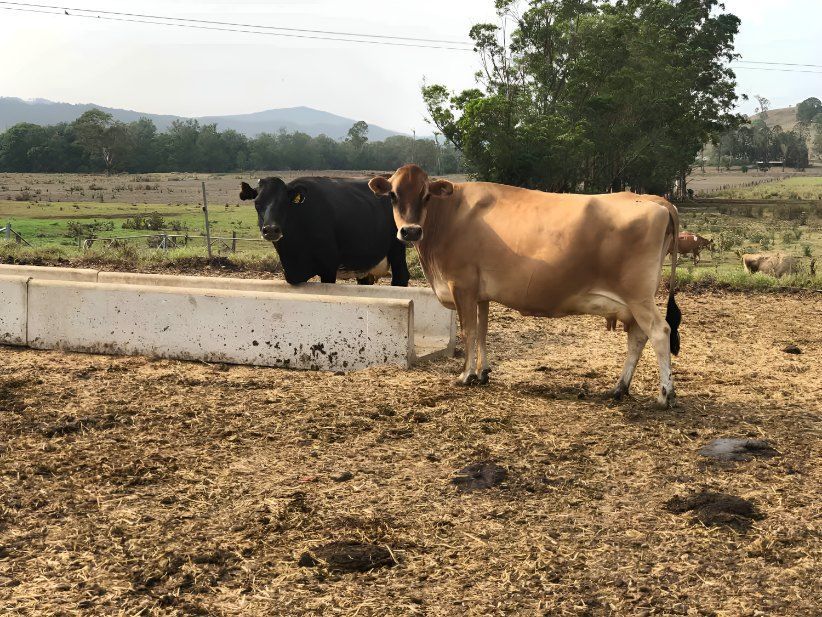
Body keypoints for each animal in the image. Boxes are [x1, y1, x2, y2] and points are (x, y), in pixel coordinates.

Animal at [240, 176, 410, 286]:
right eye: (257, 203)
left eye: (285, 202)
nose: (271, 229)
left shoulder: (328, 267)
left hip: (397, 249)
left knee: (401, 277)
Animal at [368, 165, 681, 408]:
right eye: (393, 195)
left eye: (426, 195)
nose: (410, 231)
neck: (450, 216)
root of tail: (654, 200)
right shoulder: (481, 293)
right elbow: (482, 332)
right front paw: (483, 373)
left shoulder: (462, 285)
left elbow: (468, 332)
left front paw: (465, 375)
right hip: (635, 301)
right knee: (637, 338)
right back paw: (619, 388)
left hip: (639, 297)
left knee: (659, 332)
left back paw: (665, 394)